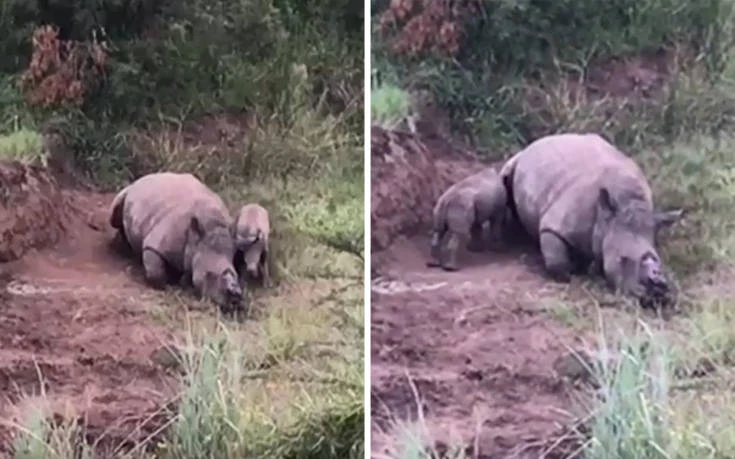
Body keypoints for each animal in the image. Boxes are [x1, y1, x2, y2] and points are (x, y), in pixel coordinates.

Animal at [109, 172, 243, 312]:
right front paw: (169, 286)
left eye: (236, 274)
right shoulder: (156, 244)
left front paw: (183, 282)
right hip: (129, 192)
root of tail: (145, 177)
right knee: (114, 216)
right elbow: (156, 272)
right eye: (208, 274)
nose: (235, 298)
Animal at [500, 133, 684, 306]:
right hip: (519, 162)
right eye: (622, 259)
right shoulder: (556, 225)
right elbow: (557, 259)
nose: (657, 292)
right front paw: (574, 272)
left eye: (658, 259)